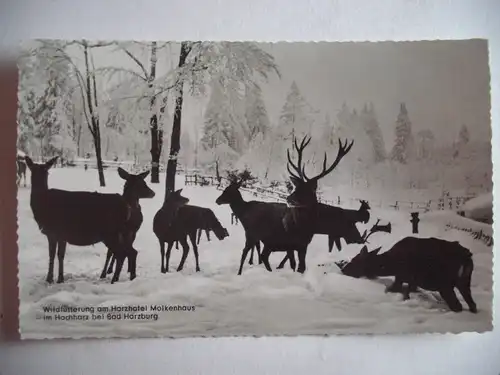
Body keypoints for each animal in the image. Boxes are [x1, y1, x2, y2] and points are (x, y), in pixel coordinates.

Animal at [24, 156, 154, 284]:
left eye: (47, 171)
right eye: (32, 169)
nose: (153, 193)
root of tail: (127, 207)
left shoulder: (52, 231)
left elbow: (52, 255)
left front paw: (49, 279)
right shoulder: (62, 235)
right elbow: (61, 255)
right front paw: (60, 278)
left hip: (112, 233)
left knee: (122, 253)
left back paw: (114, 279)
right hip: (122, 233)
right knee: (130, 252)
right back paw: (129, 277)